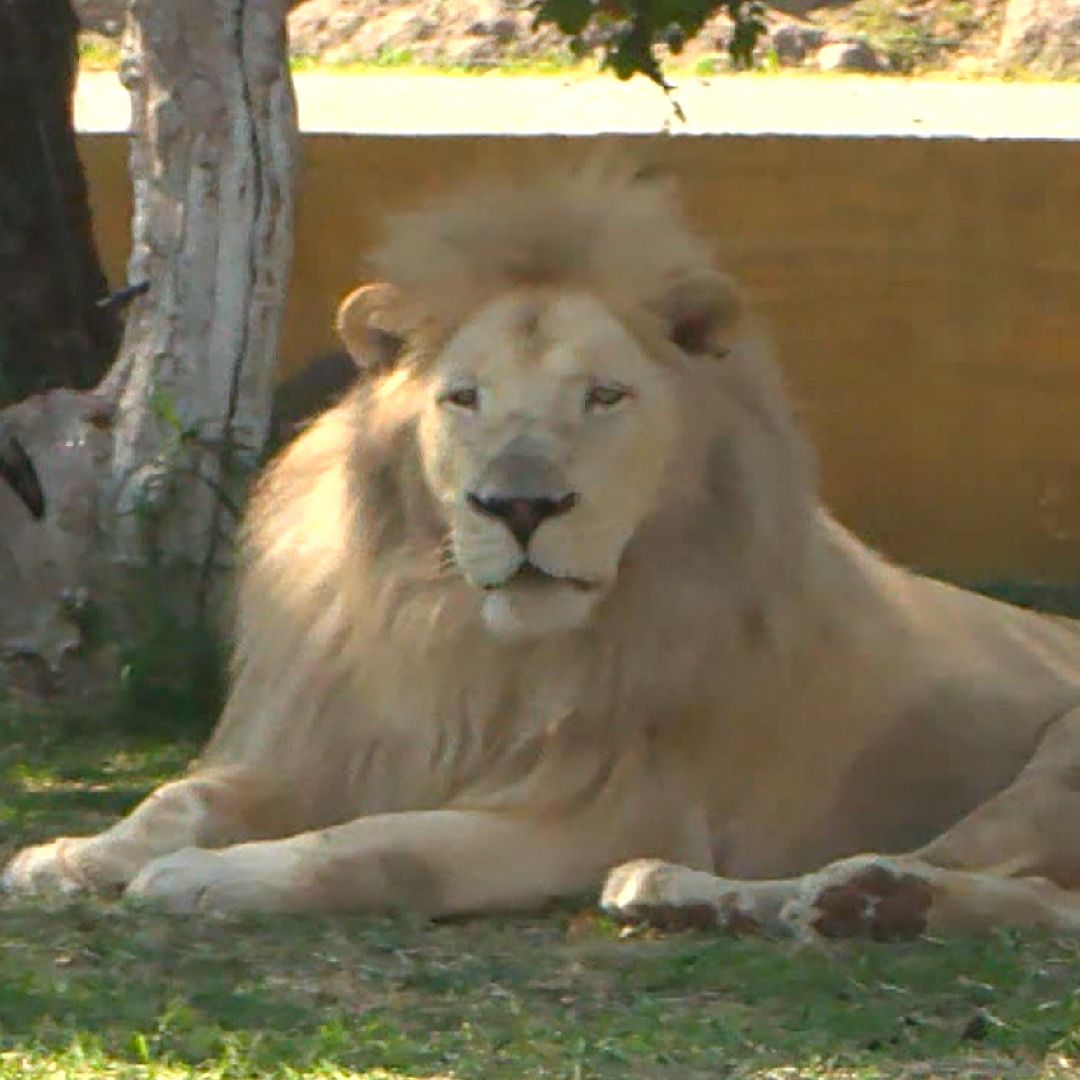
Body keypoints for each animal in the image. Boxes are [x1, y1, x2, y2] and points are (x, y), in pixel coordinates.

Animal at [7, 165, 1080, 941]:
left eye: (603, 396)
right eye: (463, 398)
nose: (520, 505)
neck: (473, 645)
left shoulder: (600, 812)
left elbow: (375, 846)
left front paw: (204, 877)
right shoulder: (350, 741)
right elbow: (177, 796)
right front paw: (68, 856)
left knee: (997, 885)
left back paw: (853, 898)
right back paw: (700, 898)